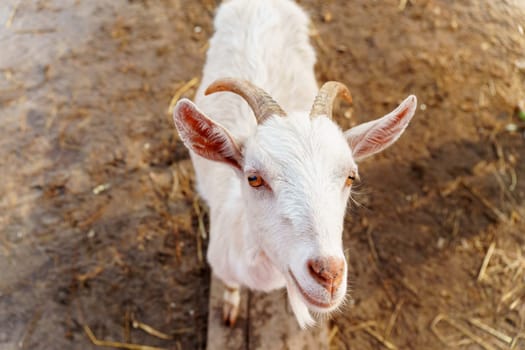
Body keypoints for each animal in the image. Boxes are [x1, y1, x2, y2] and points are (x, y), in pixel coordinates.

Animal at [170, 0, 416, 328]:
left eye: (350, 177)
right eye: (254, 178)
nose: (329, 276)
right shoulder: (221, 264)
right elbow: (231, 287)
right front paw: (230, 309)